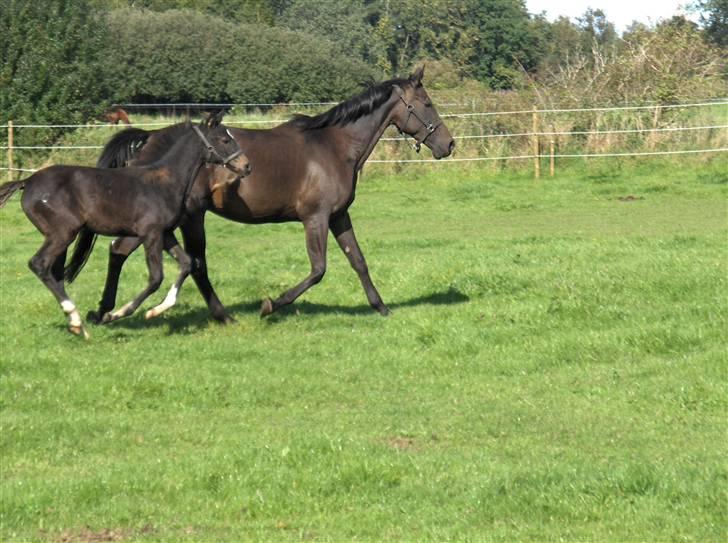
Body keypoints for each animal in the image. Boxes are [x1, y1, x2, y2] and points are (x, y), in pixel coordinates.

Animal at [0, 112, 249, 338]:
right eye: (224, 140)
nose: (246, 166)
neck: (166, 181)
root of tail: (27, 181)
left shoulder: (165, 233)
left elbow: (187, 263)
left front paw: (157, 309)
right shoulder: (150, 233)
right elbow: (156, 277)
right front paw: (118, 313)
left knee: (54, 273)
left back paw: (76, 324)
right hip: (62, 233)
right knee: (39, 264)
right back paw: (76, 318)